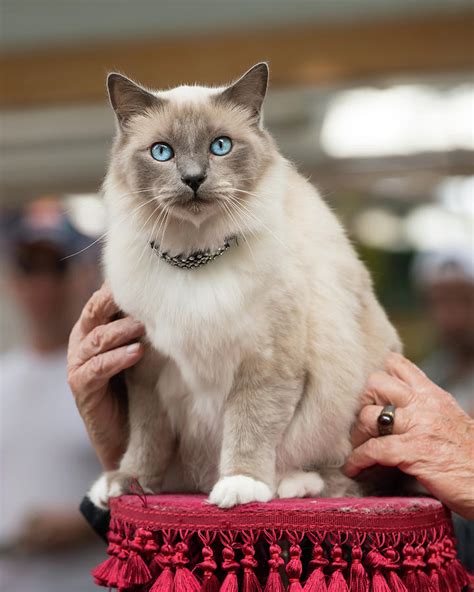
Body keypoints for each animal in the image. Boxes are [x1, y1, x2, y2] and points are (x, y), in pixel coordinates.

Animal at [89, 63, 400, 508]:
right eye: (161, 152)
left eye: (220, 146)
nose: (194, 179)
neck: (194, 259)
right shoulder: (148, 370)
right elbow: (146, 440)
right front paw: (128, 484)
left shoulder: (265, 363)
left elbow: (250, 427)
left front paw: (240, 486)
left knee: (346, 477)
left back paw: (290, 484)